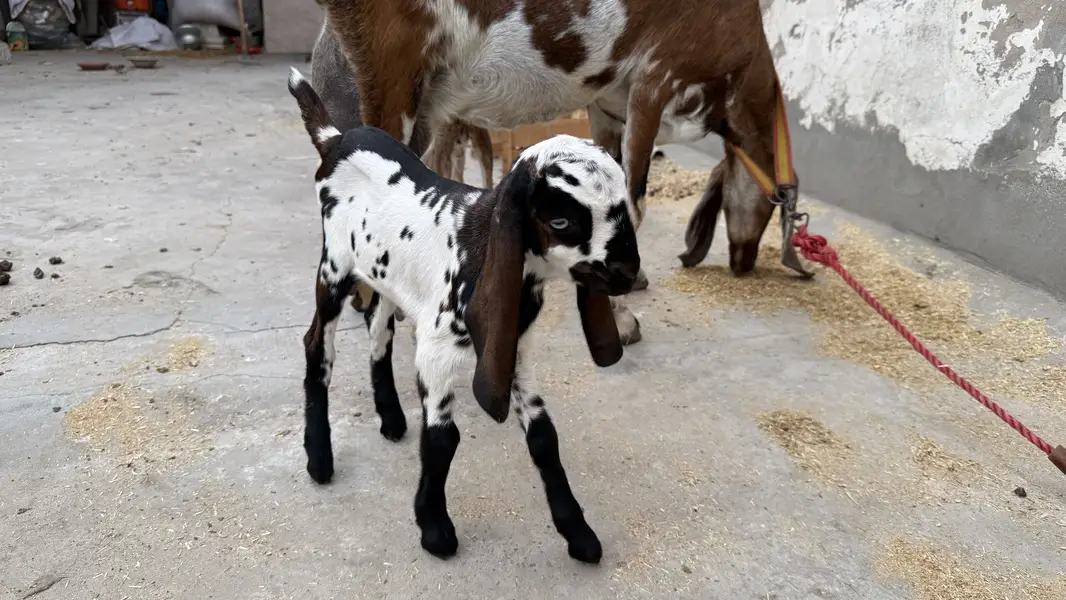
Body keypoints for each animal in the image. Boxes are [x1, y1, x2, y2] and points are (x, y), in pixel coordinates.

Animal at [289, 68, 640, 562]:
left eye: (623, 207)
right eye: (561, 222)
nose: (628, 272)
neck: (476, 245)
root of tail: (336, 139)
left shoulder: (512, 351)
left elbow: (544, 437)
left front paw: (579, 534)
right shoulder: (436, 354)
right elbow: (442, 439)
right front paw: (435, 529)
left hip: (387, 275)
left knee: (378, 329)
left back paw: (391, 419)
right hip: (335, 265)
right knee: (318, 346)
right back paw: (320, 459)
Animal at [313, 0, 811, 344]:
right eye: (774, 208)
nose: (744, 262)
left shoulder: (607, 104)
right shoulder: (655, 77)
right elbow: (635, 201)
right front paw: (623, 319)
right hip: (392, 67)